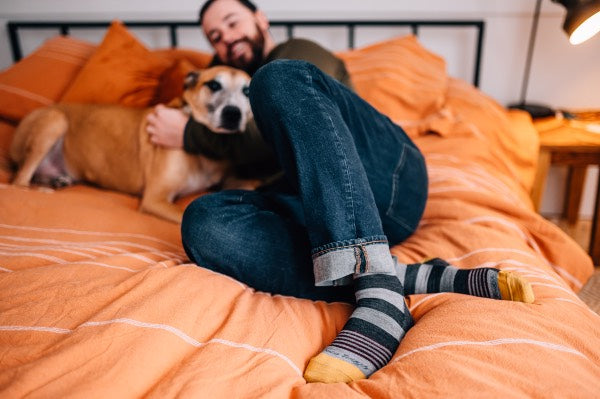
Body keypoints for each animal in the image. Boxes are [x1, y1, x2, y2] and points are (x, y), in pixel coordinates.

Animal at [9, 65, 253, 222]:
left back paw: (57, 181)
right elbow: (182, 212)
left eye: (247, 90)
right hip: (55, 120)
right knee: (18, 182)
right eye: (213, 85)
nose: (233, 114)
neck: (205, 157)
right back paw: (40, 190)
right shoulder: (155, 198)